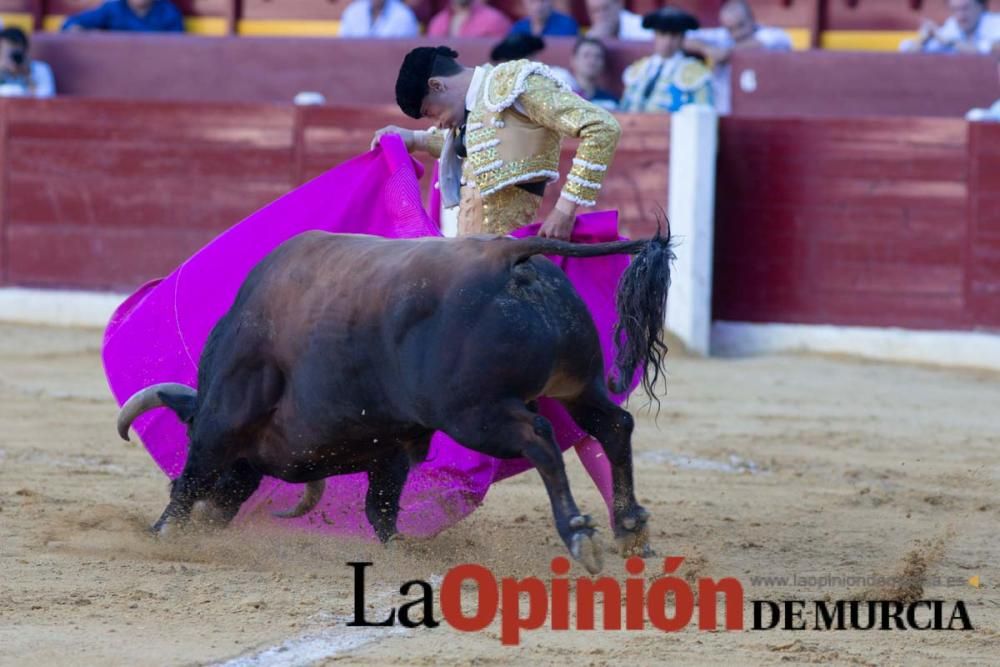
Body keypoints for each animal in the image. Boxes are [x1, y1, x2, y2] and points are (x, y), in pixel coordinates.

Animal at [115, 231, 672, 576]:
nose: (212, 523)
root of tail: (507, 260)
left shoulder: (221, 421)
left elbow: (190, 478)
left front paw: (164, 534)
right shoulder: (391, 444)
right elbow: (380, 509)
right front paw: (401, 552)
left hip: (476, 414)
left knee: (540, 439)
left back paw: (579, 534)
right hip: (577, 385)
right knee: (613, 425)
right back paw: (629, 526)